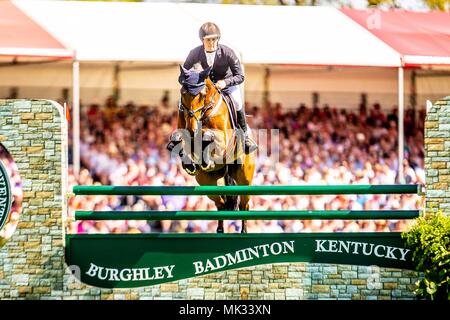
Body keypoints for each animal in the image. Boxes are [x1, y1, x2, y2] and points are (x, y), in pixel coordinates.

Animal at [167, 66, 255, 234]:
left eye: (201, 94)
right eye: (183, 92)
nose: (192, 127)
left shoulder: (223, 140)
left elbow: (210, 138)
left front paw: (205, 152)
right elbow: (182, 142)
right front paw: (187, 161)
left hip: (244, 178)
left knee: (244, 204)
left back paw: (243, 231)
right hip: (205, 182)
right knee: (220, 203)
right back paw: (220, 229)